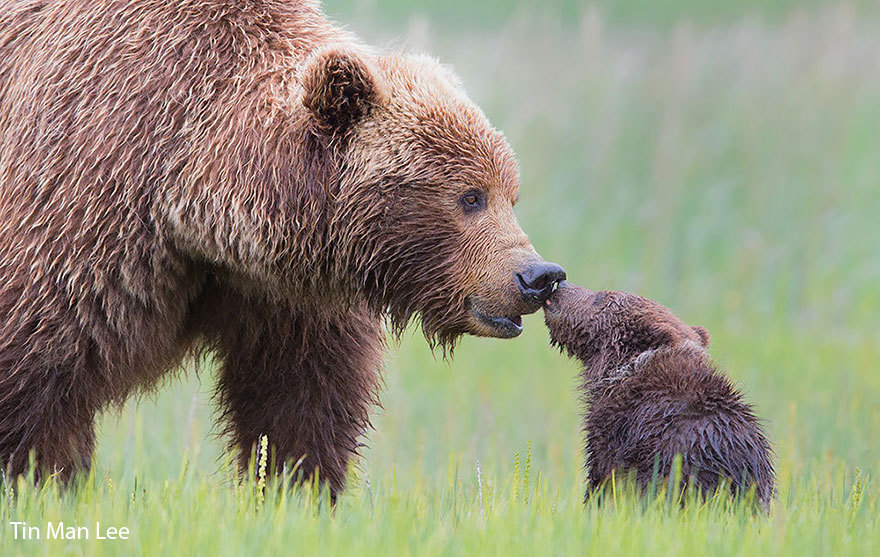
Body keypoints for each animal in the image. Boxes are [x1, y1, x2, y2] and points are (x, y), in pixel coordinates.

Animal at [0, 0, 564, 496]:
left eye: (510, 193)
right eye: (470, 196)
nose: (538, 275)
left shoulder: (286, 294)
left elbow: (300, 399)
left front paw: (296, 491)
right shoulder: (84, 209)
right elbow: (37, 375)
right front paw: (41, 481)